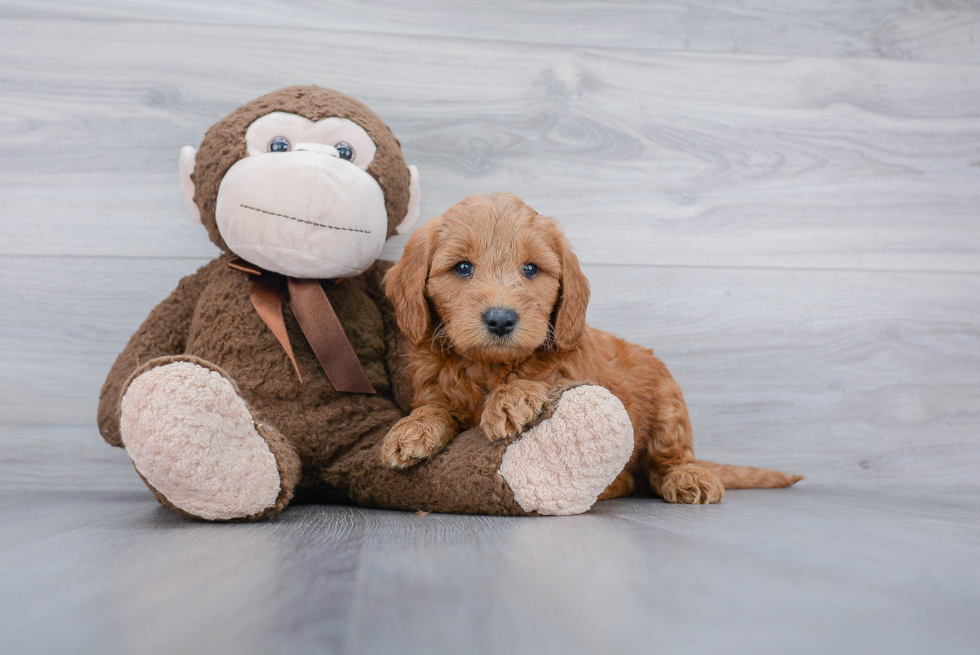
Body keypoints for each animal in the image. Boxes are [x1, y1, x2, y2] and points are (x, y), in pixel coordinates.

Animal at [378, 192, 800, 504]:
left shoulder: (572, 371)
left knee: (663, 462)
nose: (500, 319)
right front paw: (409, 431)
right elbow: (434, 407)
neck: (491, 366)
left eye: (530, 269)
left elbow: (540, 377)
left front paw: (510, 398)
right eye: (462, 268)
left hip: (669, 404)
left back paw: (682, 476)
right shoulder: (434, 383)